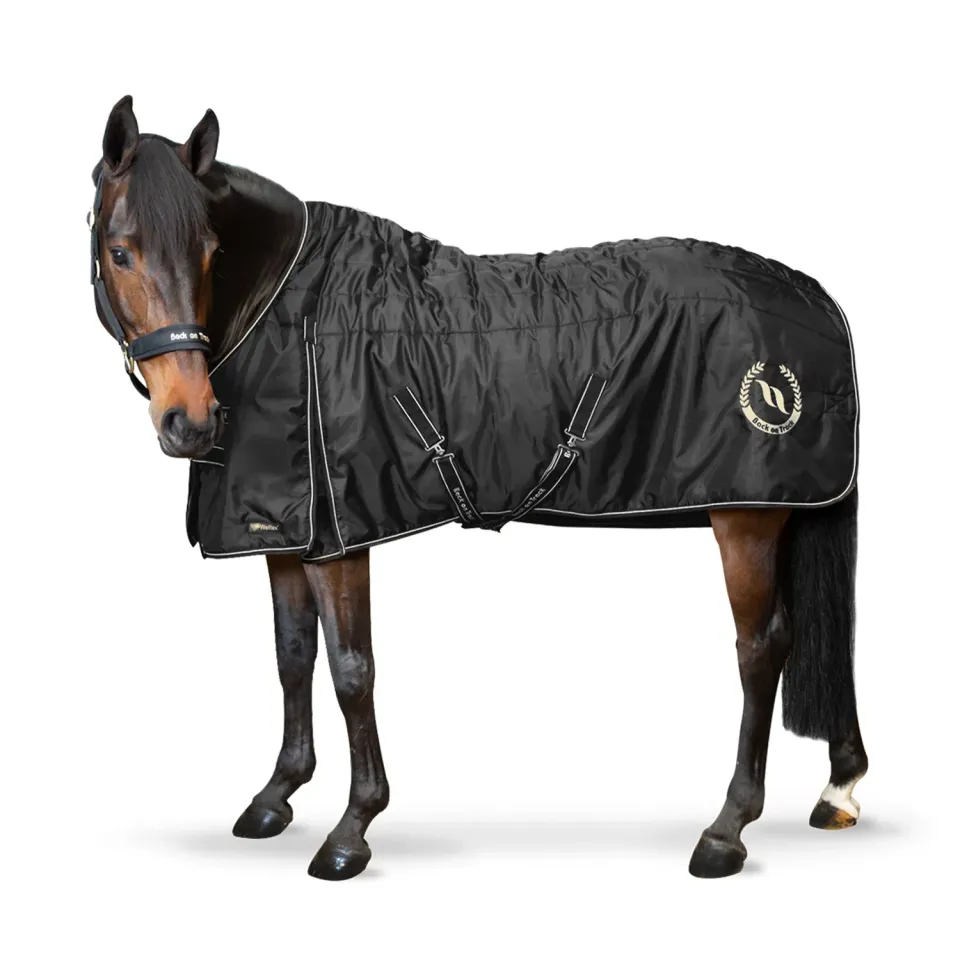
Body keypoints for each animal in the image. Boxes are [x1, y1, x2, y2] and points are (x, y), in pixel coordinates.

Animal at [88, 95, 867, 881]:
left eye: (212, 252)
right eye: (120, 252)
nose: (191, 422)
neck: (291, 311)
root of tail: (815, 297)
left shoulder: (341, 536)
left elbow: (351, 671)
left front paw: (351, 829)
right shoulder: (285, 530)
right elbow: (292, 658)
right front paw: (277, 795)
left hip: (746, 518)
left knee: (761, 648)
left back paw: (726, 830)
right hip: (781, 512)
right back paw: (838, 789)